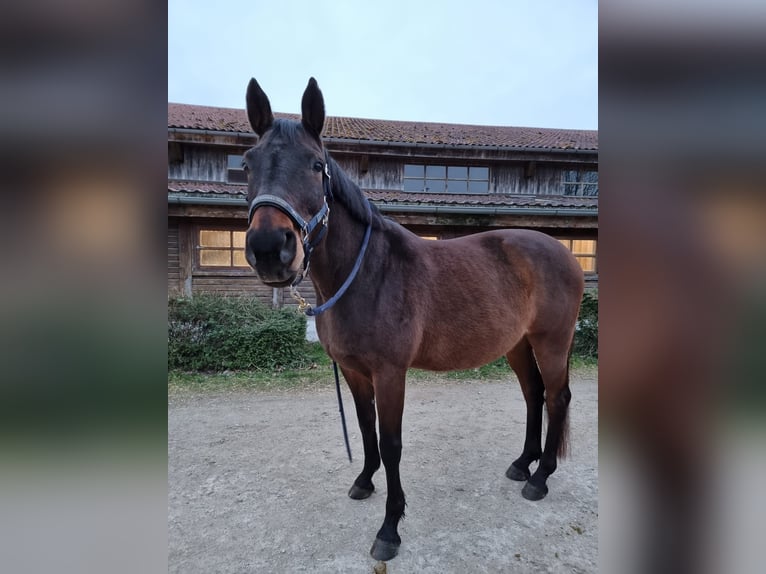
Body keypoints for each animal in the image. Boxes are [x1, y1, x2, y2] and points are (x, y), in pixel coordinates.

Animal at [243, 76, 584, 564]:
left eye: (315, 165)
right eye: (247, 164)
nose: (270, 248)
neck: (366, 273)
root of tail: (565, 255)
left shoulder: (390, 373)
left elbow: (391, 444)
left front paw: (390, 529)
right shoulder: (355, 372)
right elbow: (366, 430)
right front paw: (364, 481)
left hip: (551, 342)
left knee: (557, 398)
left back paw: (541, 478)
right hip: (518, 345)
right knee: (533, 395)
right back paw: (523, 465)